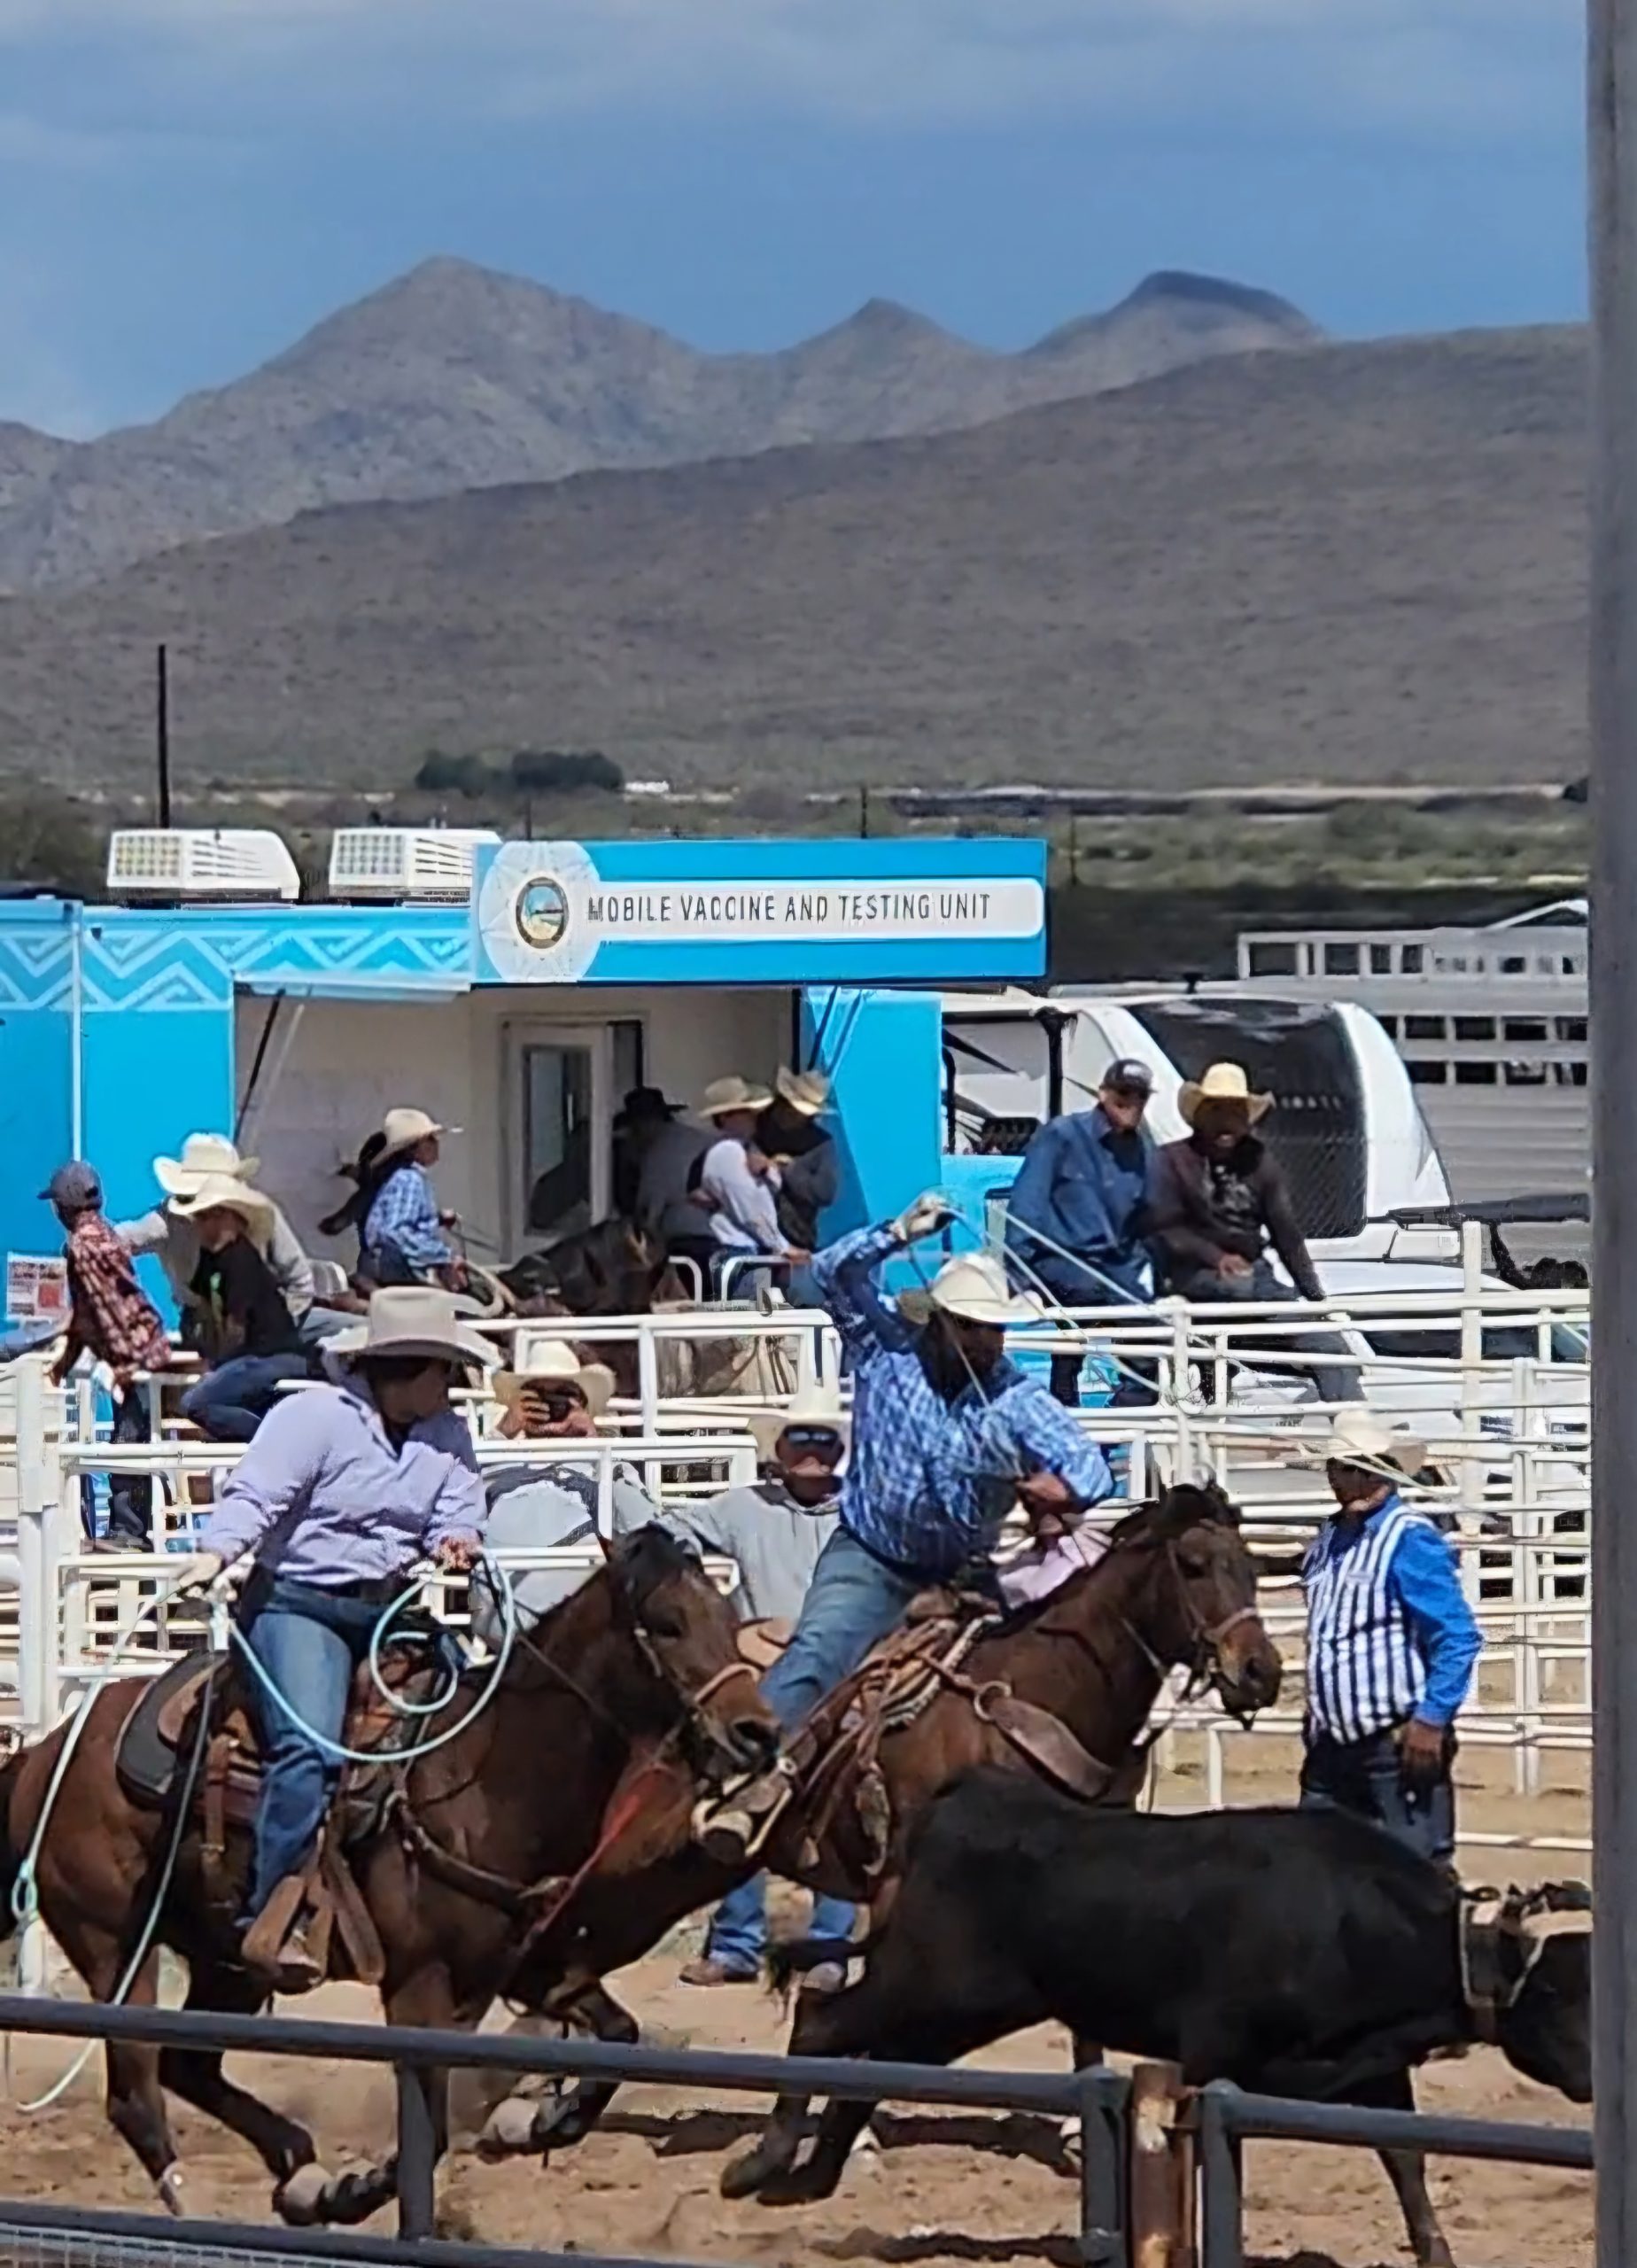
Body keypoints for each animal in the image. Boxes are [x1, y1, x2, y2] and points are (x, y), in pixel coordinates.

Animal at [0, 1533, 780, 2222]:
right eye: (667, 1624)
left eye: (729, 1620)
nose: (758, 1734)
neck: (487, 1777)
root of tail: (47, 1749)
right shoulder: (418, 1985)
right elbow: (426, 2128)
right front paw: (363, 2188)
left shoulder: (531, 1965)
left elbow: (619, 2039)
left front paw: (533, 2122)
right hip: (115, 1945)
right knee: (136, 2090)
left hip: (231, 1958)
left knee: (186, 2066)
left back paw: (301, 2175)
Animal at [471, 1479, 1278, 2186]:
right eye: (1195, 1564)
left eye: (1253, 1566)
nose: (1261, 1673)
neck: (1029, 1699)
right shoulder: (899, 1890)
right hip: (626, 1875)